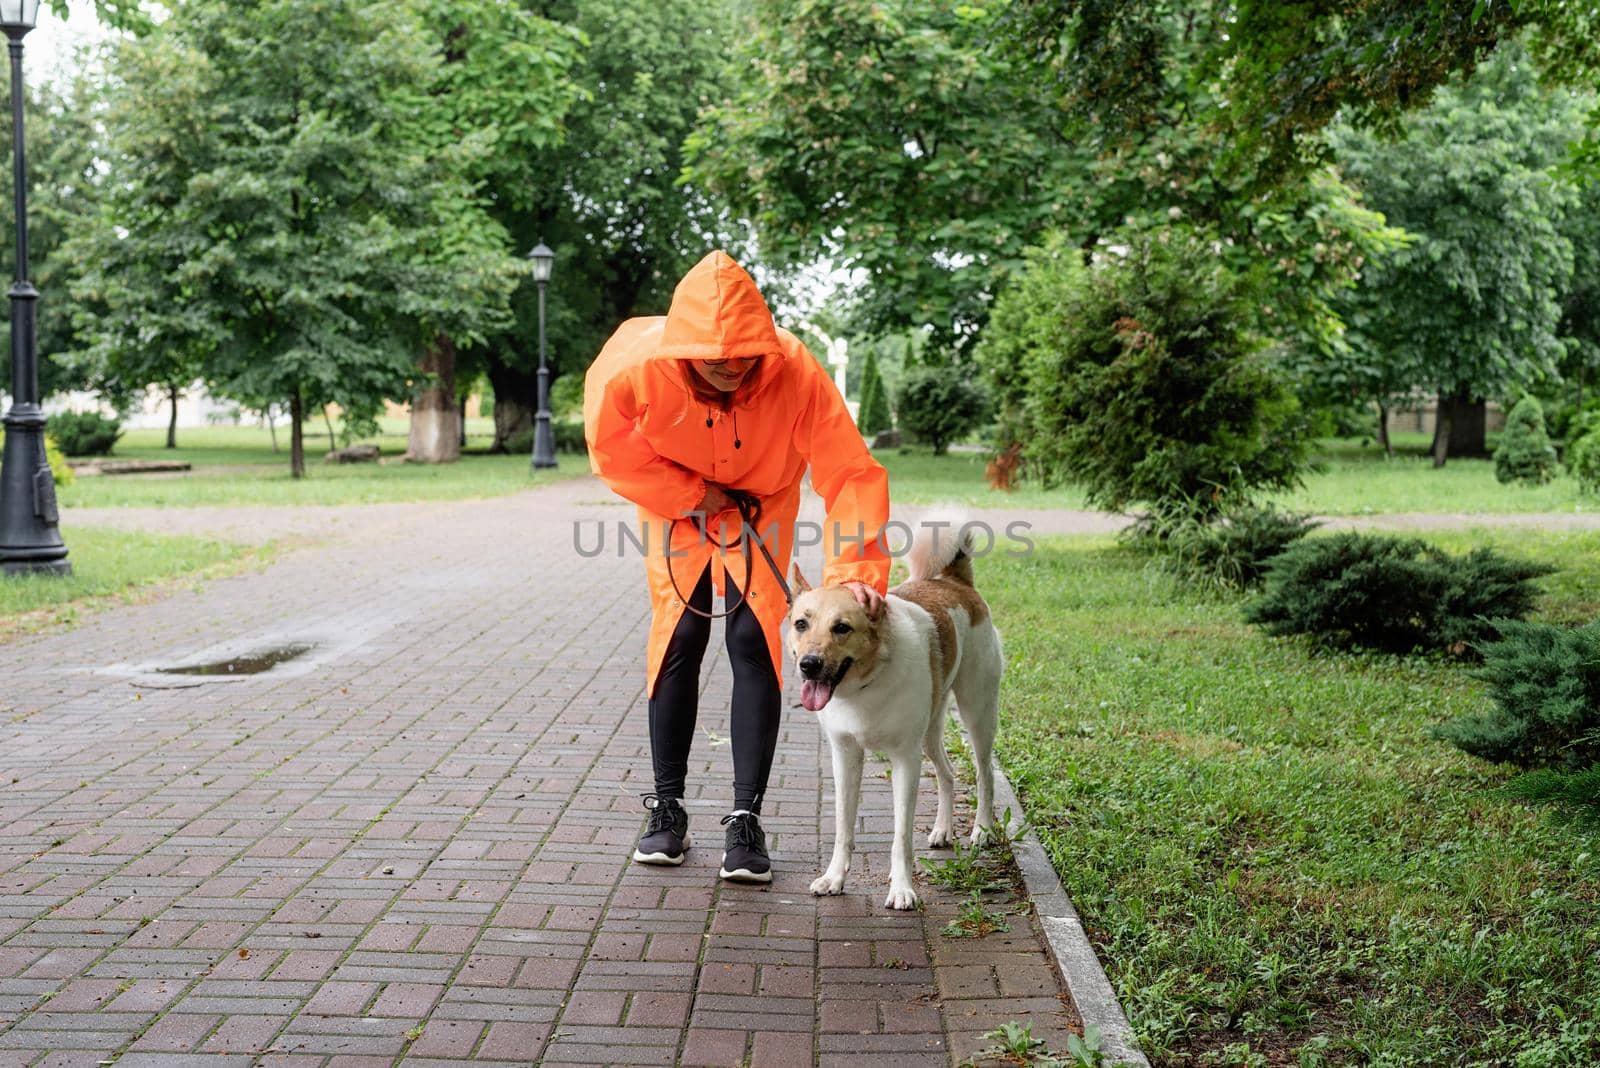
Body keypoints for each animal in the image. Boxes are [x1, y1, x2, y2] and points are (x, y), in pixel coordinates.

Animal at [787, 518, 998, 908]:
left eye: (842, 627)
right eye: (801, 624)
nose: (809, 665)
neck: (865, 685)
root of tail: (953, 581)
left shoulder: (905, 760)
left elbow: (900, 836)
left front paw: (901, 888)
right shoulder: (845, 756)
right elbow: (843, 827)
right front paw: (834, 877)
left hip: (977, 713)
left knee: (985, 773)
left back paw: (982, 830)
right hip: (930, 732)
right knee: (947, 773)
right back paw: (943, 829)